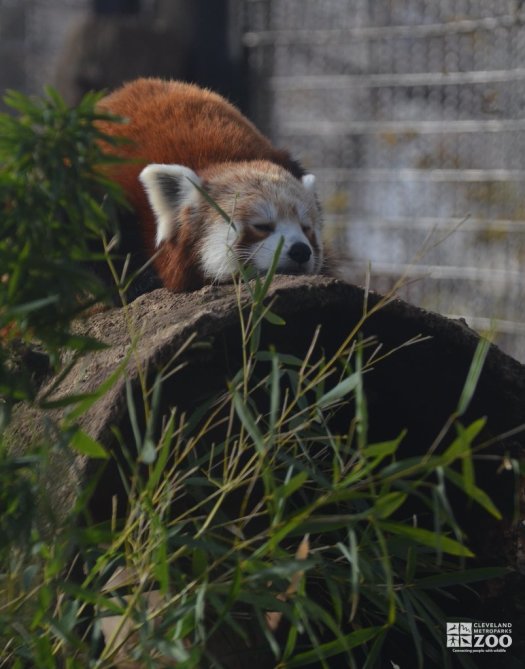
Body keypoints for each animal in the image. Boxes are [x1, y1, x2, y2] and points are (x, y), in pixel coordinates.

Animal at [95, 77, 322, 290]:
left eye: (306, 228)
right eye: (262, 226)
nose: (300, 251)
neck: (221, 161)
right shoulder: (118, 192)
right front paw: (140, 282)